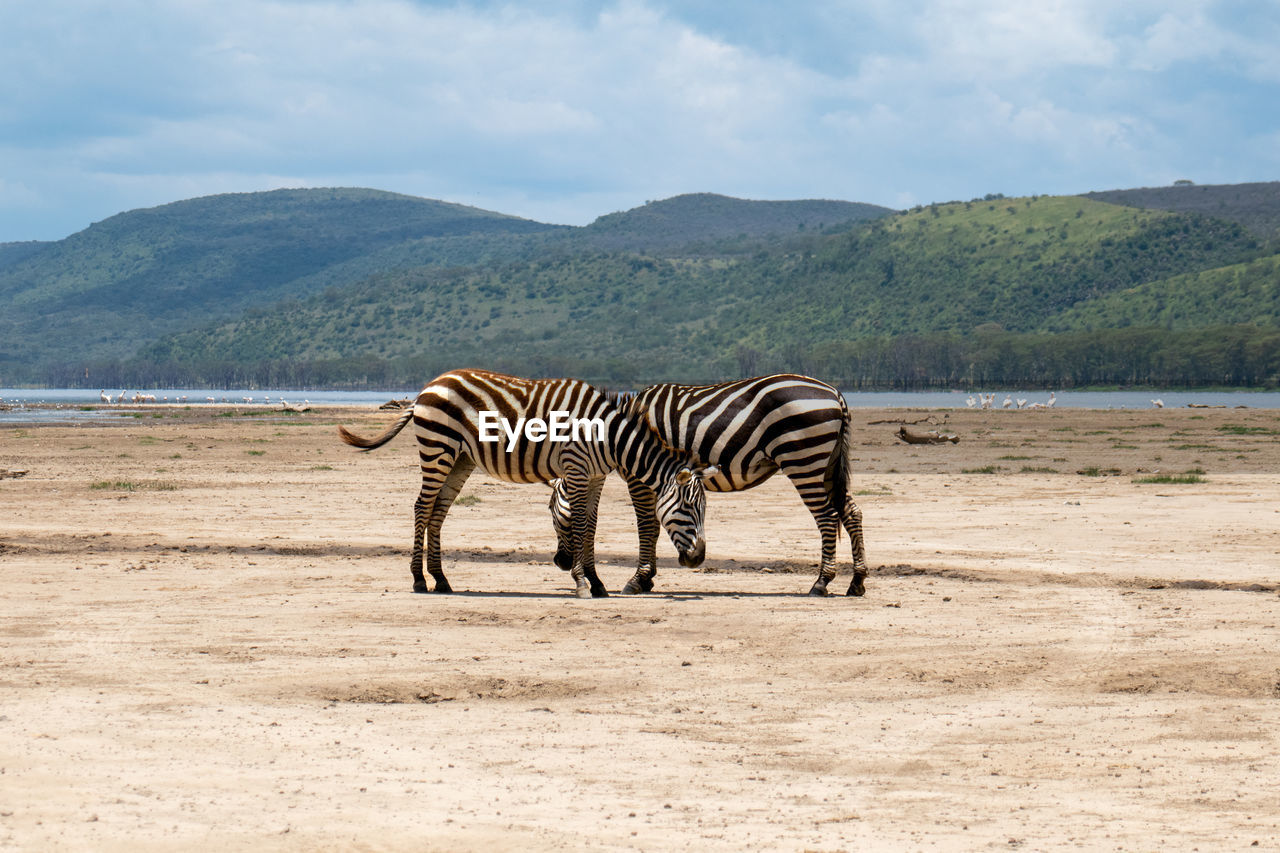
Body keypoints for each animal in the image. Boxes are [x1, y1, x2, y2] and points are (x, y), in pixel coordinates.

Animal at [335, 366, 716, 596]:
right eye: (687, 507)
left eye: (703, 509)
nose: (698, 559)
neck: (608, 436)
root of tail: (426, 388)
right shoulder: (576, 468)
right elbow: (580, 524)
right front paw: (582, 582)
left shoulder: (595, 476)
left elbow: (591, 526)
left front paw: (596, 581)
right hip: (437, 447)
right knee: (421, 507)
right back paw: (417, 579)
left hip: (460, 458)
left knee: (438, 511)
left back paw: (441, 579)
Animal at [545, 371, 865, 596]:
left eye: (552, 514)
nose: (560, 562)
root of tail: (834, 392)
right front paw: (647, 579)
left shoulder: (640, 477)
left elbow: (646, 526)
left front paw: (639, 579)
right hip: (826, 466)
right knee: (851, 512)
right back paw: (857, 582)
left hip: (805, 461)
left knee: (827, 517)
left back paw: (821, 583)